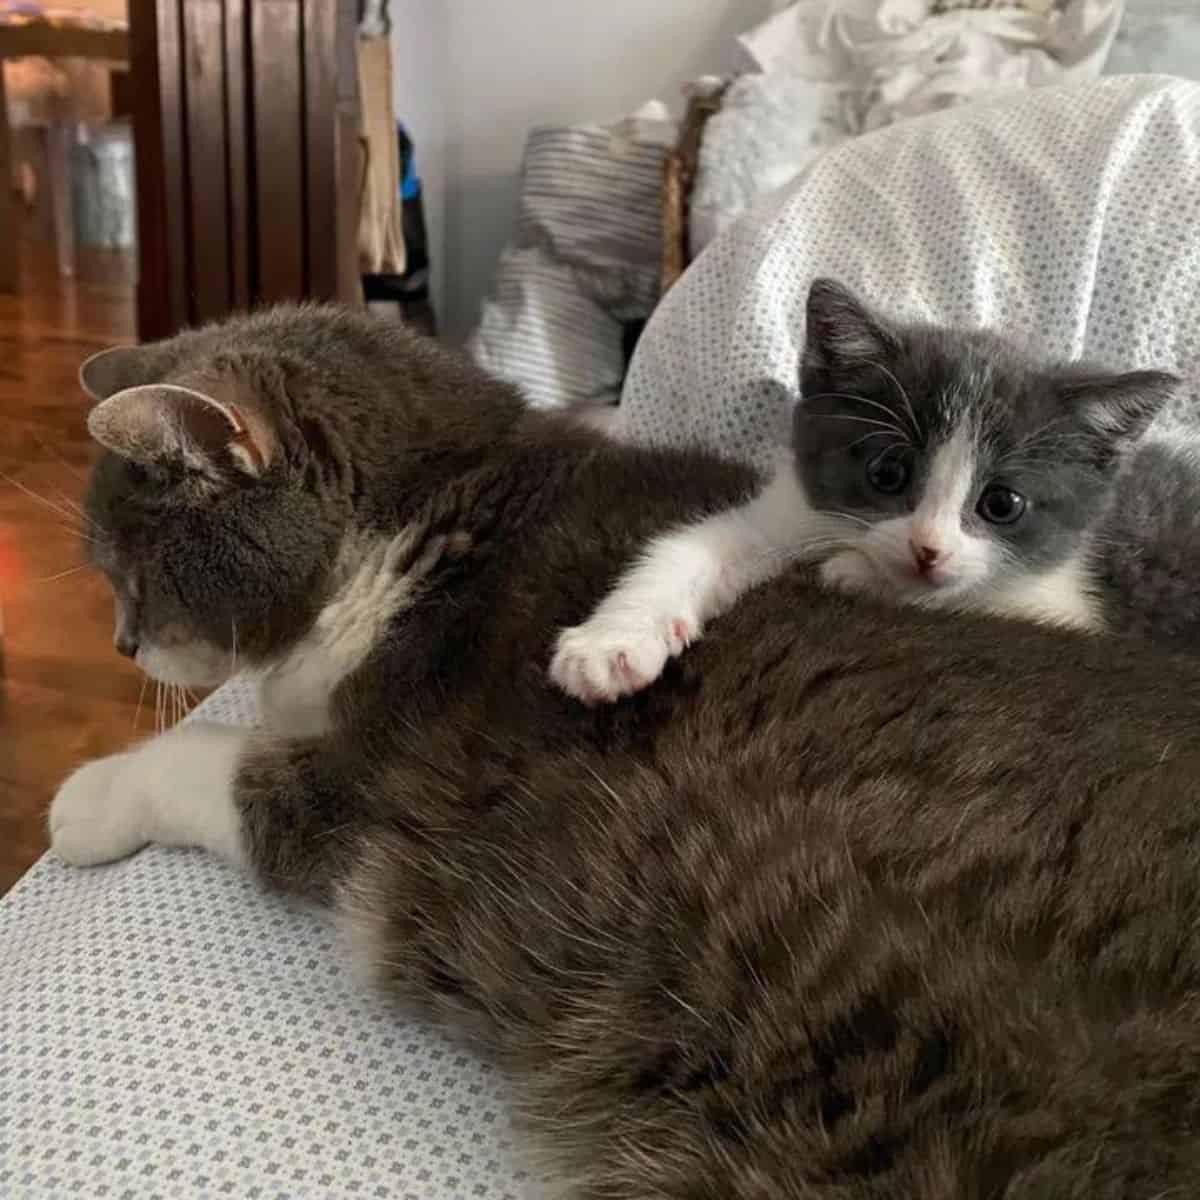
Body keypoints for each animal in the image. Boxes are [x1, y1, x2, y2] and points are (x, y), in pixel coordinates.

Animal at [549, 276, 1180, 700]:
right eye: (887, 473)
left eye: (1002, 503)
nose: (927, 549)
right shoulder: (792, 509)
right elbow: (693, 546)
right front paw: (611, 642)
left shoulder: (1068, 603)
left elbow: (977, 597)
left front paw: (851, 573)